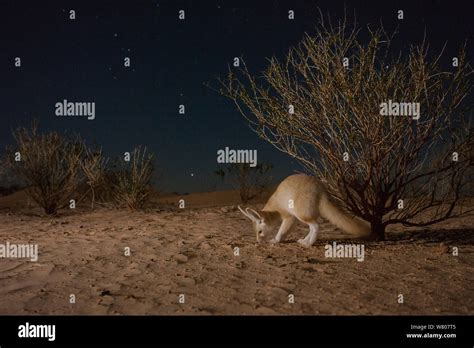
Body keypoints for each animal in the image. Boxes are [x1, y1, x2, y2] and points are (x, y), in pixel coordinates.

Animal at [239, 174, 368, 247]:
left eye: (260, 232)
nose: (257, 242)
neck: (274, 208)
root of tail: (321, 190)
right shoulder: (293, 220)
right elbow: (285, 232)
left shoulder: (289, 217)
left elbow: (281, 231)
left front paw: (275, 240)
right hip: (304, 215)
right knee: (312, 227)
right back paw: (305, 241)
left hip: (300, 213)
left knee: (316, 226)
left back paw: (309, 244)